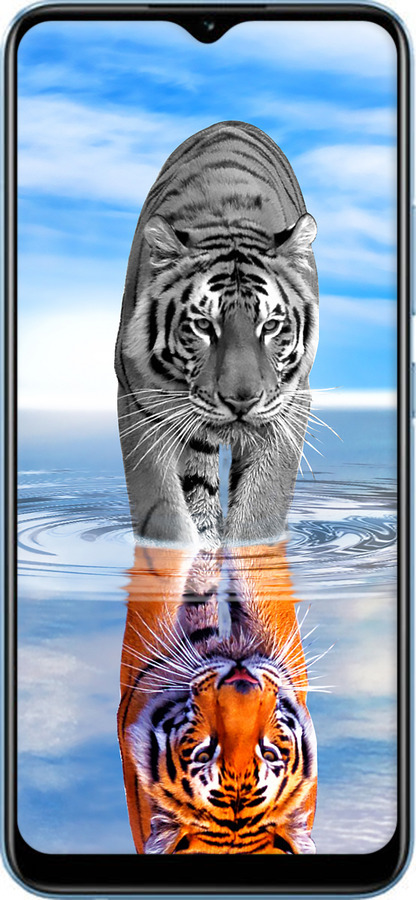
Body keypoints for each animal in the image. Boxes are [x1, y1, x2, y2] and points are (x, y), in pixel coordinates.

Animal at [115, 120, 319, 549]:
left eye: (270, 326)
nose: (241, 400)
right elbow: (163, 512)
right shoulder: (139, 401)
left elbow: (261, 509)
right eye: (204, 326)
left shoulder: (290, 404)